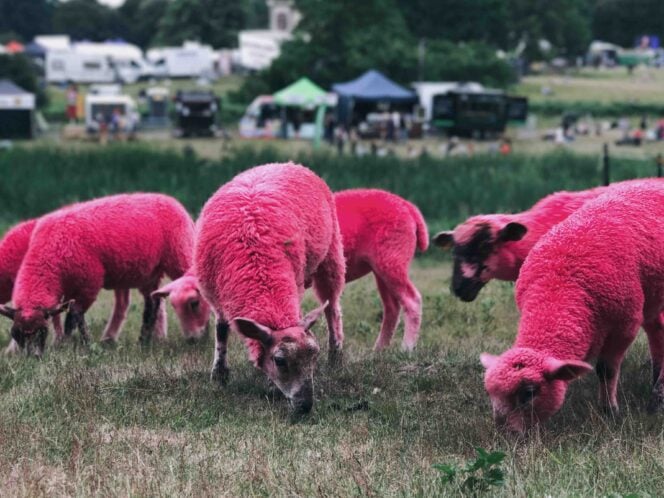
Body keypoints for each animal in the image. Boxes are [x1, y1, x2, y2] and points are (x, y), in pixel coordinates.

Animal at [0, 193, 202, 356]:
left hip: (179, 254)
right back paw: (143, 341)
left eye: (42, 331)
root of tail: (172, 201)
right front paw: (65, 343)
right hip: (148, 272)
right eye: (16, 333)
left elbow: (74, 315)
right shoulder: (65, 289)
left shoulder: (90, 281)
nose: (32, 357)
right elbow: (67, 315)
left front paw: (78, 344)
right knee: (152, 302)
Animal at [196, 161, 342, 414]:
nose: (305, 405)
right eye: (279, 361)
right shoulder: (216, 295)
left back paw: (336, 355)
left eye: (314, 355)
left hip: (331, 253)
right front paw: (219, 374)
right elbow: (221, 330)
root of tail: (288, 163)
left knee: (332, 307)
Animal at [334, 189, 428, 352]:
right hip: (382, 267)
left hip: (393, 259)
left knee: (412, 300)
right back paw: (379, 350)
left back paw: (406, 348)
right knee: (392, 308)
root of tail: (408, 206)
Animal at [480, 181, 664, 434]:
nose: (504, 434)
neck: (560, 286)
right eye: (490, 392)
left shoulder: (625, 325)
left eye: (529, 392)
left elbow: (606, 369)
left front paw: (609, 411)